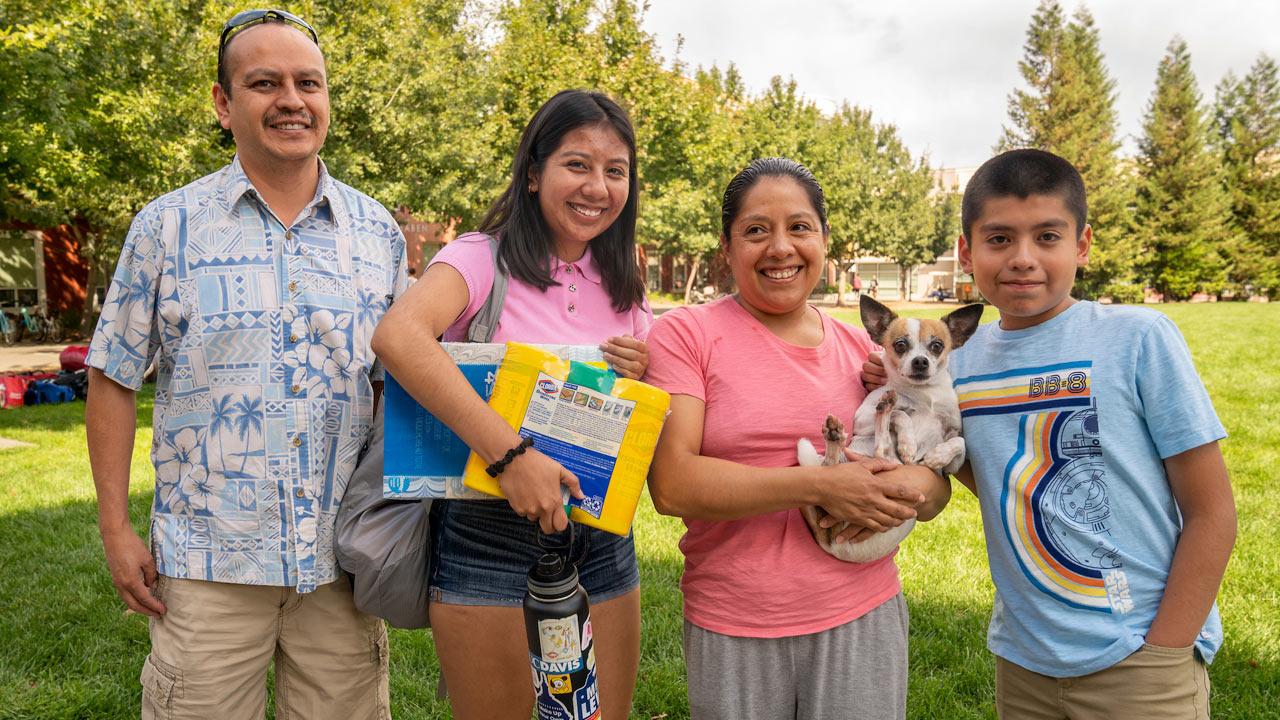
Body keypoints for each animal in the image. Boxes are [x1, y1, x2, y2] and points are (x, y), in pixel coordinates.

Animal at [793, 293, 983, 561]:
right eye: (900, 345)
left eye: (937, 346)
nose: (920, 361)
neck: (924, 396)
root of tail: (833, 545)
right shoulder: (862, 419)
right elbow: (902, 415)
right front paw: (908, 442)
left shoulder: (951, 464)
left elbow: (959, 442)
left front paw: (936, 455)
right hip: (874, 456)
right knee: (876, 445)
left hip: (888, 466)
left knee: (878, 452)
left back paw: (837, 435)